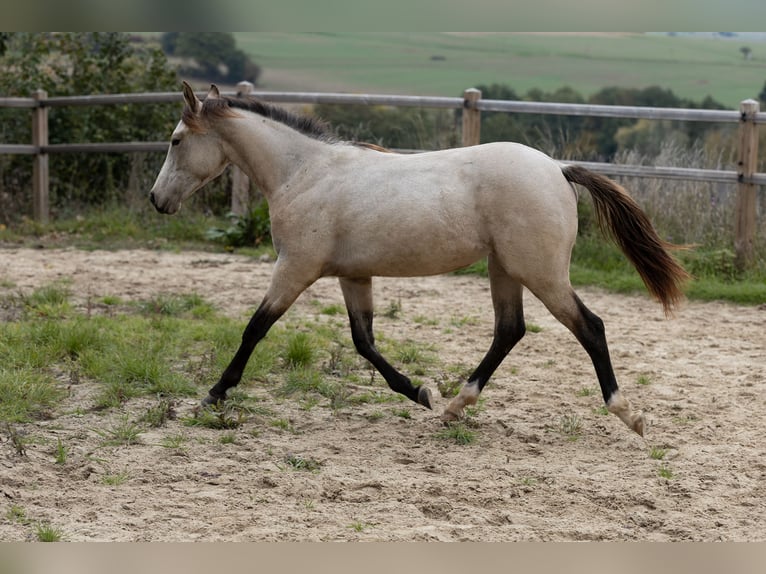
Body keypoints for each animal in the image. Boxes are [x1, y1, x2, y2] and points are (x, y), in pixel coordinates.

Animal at [149, 82, 689, 437]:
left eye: (176, 140)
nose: (157, 200)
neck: (302, 174)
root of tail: (556, 168)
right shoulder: (353, 275)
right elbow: (364, 342)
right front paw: (421, 393)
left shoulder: (295, 268)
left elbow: (255, 328)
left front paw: (212, 395)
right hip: (505, 270)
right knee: (509, 330)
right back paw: (454, 407)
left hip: (540, 272)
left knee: (589, 327)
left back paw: (630, 415)